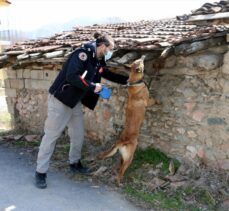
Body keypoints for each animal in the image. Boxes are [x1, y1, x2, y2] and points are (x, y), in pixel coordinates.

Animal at [96, 55, 156, 185]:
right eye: (140, 61)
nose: (143, 56)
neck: (134, 82)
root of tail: (120, 141)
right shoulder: (148, 101)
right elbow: (154, 100)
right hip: (130, 157)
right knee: (121, 170)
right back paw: (120, 182)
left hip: (123, 156)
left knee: (120, 165)